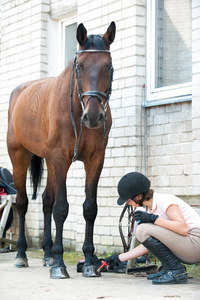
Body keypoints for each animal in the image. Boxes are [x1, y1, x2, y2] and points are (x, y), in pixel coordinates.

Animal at [6, 22, 115, 278]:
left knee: (46, 200)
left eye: (108, 67)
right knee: (23, 203)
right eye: (80, 67)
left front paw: (89, 263)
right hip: (20, 157)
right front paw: (59, 264)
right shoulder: (61, 158)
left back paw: (46, 255)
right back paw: (22, 255)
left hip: (49, 161)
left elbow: (89, 208)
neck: (76, 107)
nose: (93, 117)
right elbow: (61, 208)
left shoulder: (96, 159)